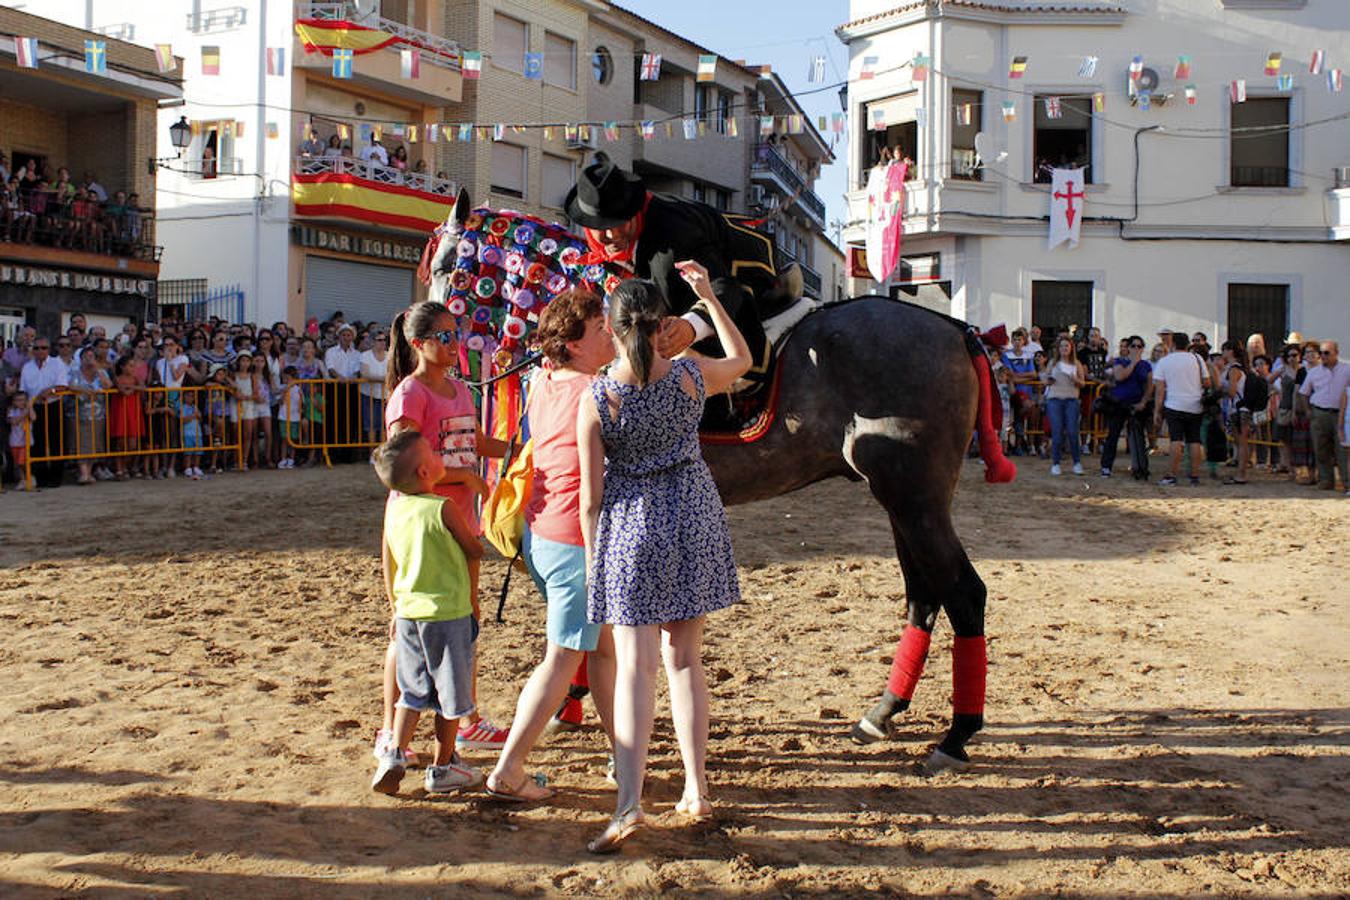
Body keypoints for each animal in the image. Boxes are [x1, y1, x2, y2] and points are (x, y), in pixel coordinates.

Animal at [421, 194, 1015, 771]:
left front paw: (575, 700)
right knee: (924, 596)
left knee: (964, 594)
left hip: (914, 499)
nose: (421, 332)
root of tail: (956, 331)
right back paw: (884, 712)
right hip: (902, 502)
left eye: (448, 265)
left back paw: (956, 735)